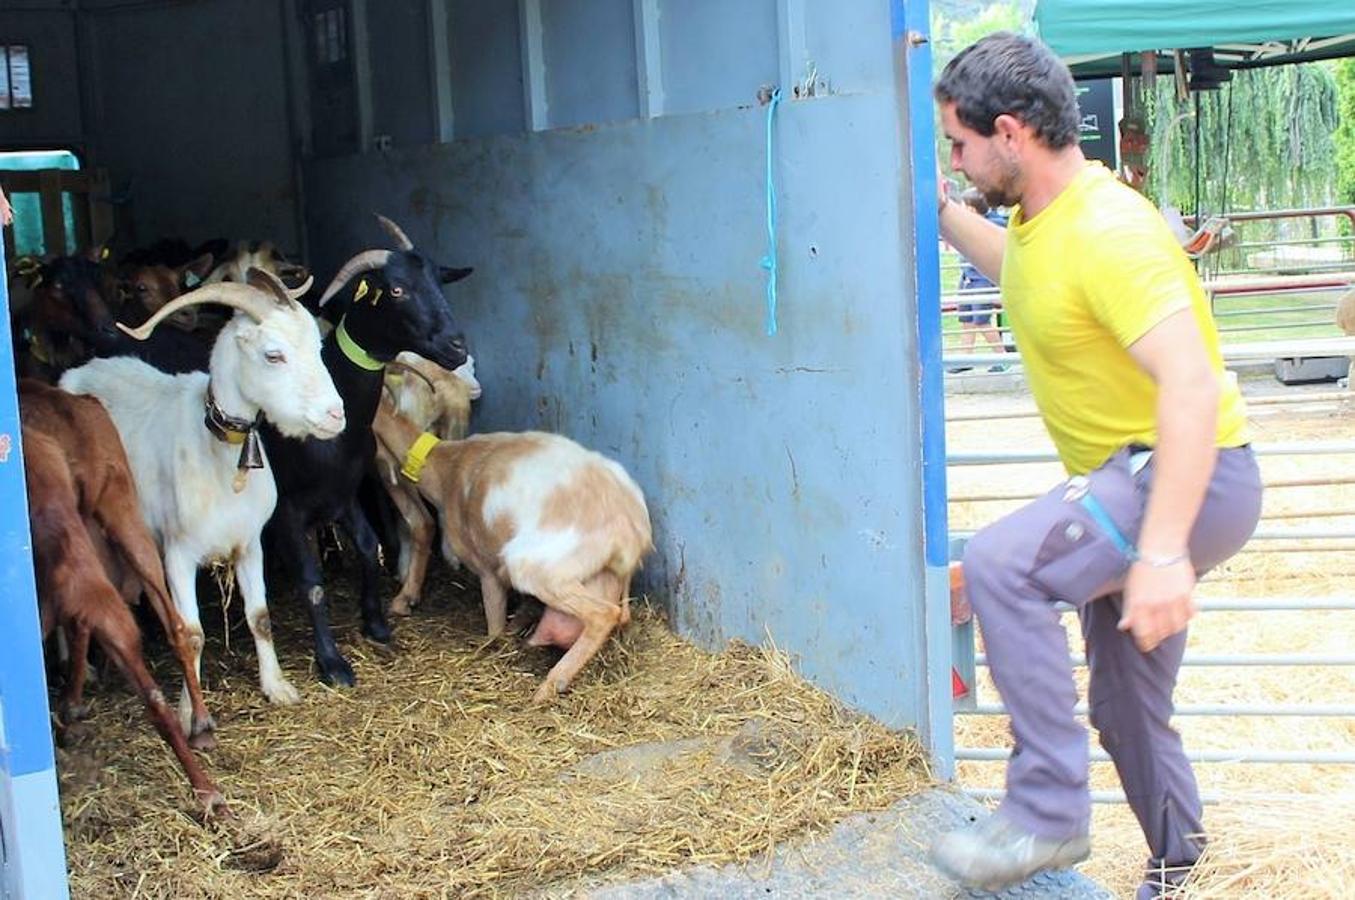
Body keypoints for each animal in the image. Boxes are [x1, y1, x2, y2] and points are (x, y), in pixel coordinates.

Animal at [60, 271, 346, 721]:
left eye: (318, 347)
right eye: (273, 356)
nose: (335, 415)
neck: (220, 453)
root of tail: (77, 372)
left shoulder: (250, 543)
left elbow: (260, 616)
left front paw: (277, 686)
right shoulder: (178, 552)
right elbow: (191, 634)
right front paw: (190, 714)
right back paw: (81, 667)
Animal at [258, 216, 471, 683]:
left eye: (439, 282)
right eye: (396, 289)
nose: (457, 347)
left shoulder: (346, 491)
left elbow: (368, 548)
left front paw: (372, 622)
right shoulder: (291, 507)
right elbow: (313, 581)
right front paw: (333, 659)